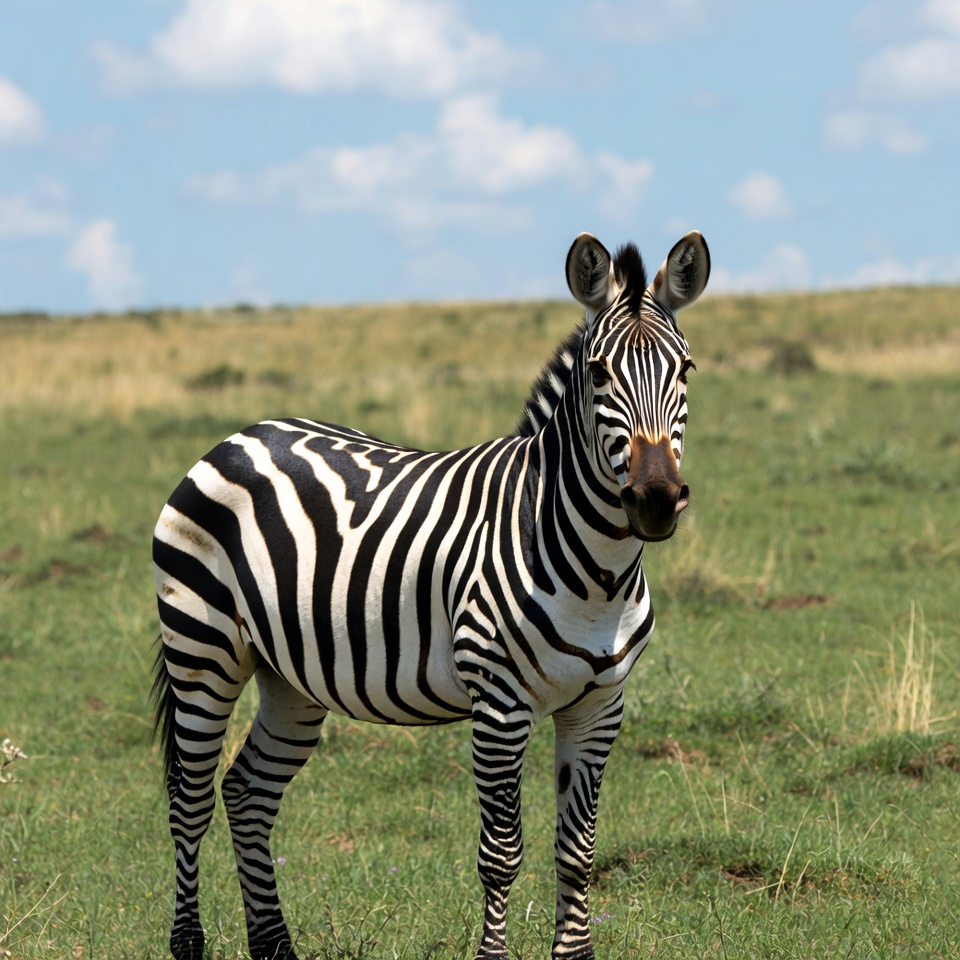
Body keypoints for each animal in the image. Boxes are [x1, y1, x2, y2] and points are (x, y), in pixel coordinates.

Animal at [152, 229, 710, 960]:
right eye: (597, 375)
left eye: (686, 371)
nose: (655, 500)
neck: (600, 575)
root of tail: (242, 435)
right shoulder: (499, 703)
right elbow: (502, 854)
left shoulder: (599, 705)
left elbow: (577, 853)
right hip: (203, 649)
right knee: (189, 801)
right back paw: (189, 942)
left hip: (289, 676)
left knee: (247, 793)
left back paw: (275, 947)